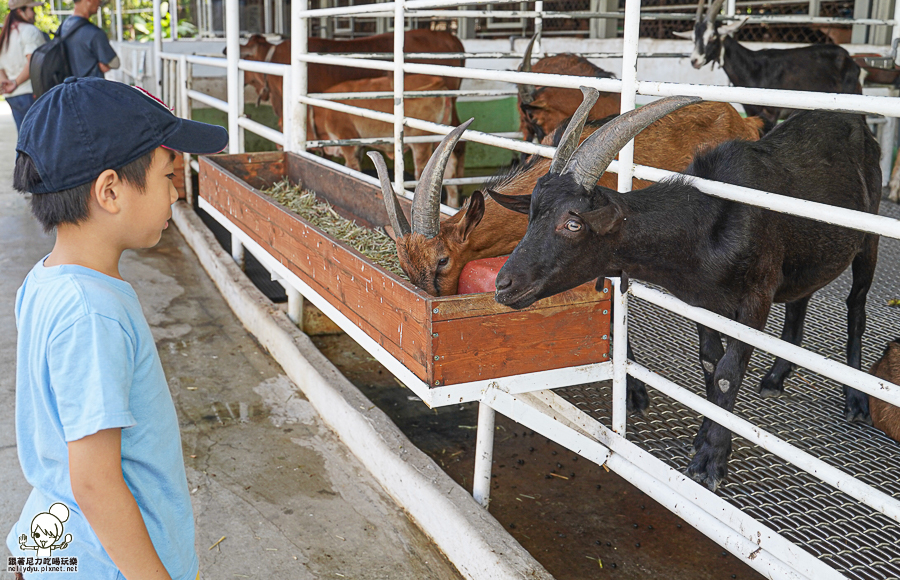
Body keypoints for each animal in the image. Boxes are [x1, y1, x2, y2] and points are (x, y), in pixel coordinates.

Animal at [492, 88, 880, 492]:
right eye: (532, 214)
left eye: (573, 224)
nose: (503, 285)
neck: (708, 225)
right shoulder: (705, 301)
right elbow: (710, 361)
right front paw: (703, 438)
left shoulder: (756, 298)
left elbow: (727, 372)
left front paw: (710, 461)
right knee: (801, 296)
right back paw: (776, 377)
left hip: (868, 242)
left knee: (856, 307)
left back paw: (856, 401)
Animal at [676, 0, 856, 123]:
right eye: (693, 38)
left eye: (713, 36)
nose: (695, 60)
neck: (754, 69)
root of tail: (848, 57)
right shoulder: (751, 111)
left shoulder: (771, 113)